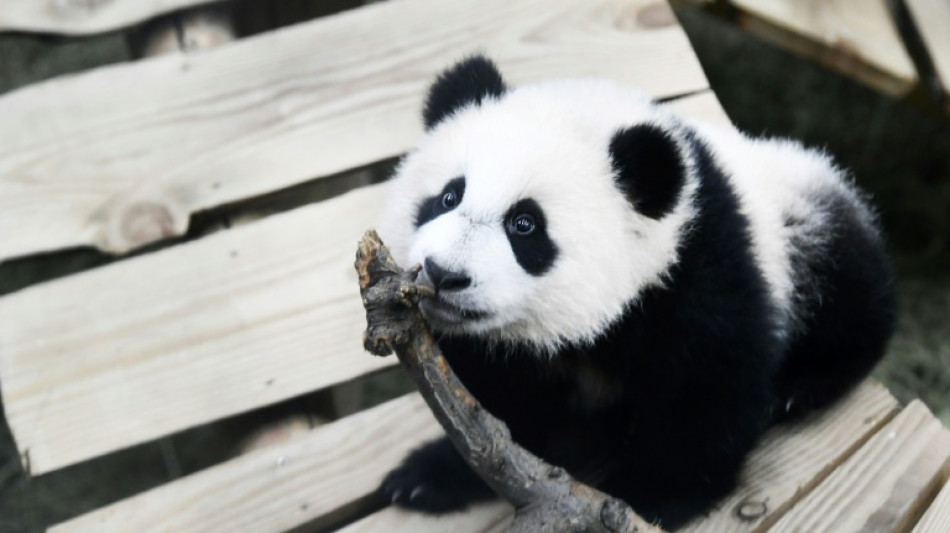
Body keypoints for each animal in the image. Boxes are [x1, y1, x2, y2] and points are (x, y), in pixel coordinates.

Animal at [376, 55, 895, 529]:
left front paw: (650, 495)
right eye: (448, 197)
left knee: (850, 302)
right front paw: (433, 475)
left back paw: (800, 387)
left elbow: (707, 385)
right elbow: (492, 403)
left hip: (807, 228)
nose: (443, 274)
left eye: (524, 225)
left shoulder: (702, 269)